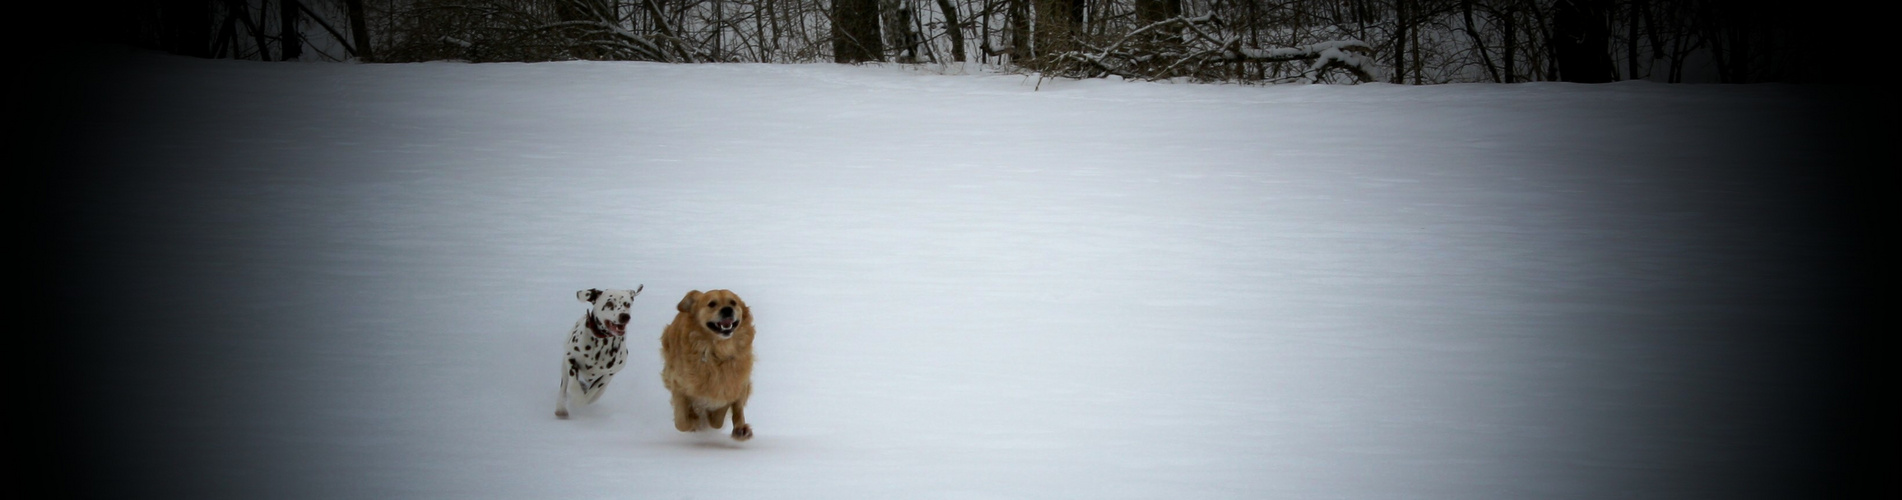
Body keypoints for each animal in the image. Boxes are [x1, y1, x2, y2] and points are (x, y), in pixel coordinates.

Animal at [555, 287, 642, 420]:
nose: (625, 316)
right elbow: (573, 385)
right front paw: (576, 397)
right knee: (564, 386)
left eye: (627, 304)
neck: (601, 344)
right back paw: (561, 408)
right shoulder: (571, 358)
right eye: (609, 303)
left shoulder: (609, 373)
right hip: (564, 365)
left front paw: (583, 398)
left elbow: (593, 392)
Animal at [661, 290, 756, 442]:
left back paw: (741, 430)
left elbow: (719, 418)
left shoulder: (731, 385)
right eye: (712, 304)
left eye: (733, 302)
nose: (727, 309)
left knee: (738, 408)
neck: (717, 352)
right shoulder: (678, 385)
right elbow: (682, 423)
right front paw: (694, 420)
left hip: (743, 382)